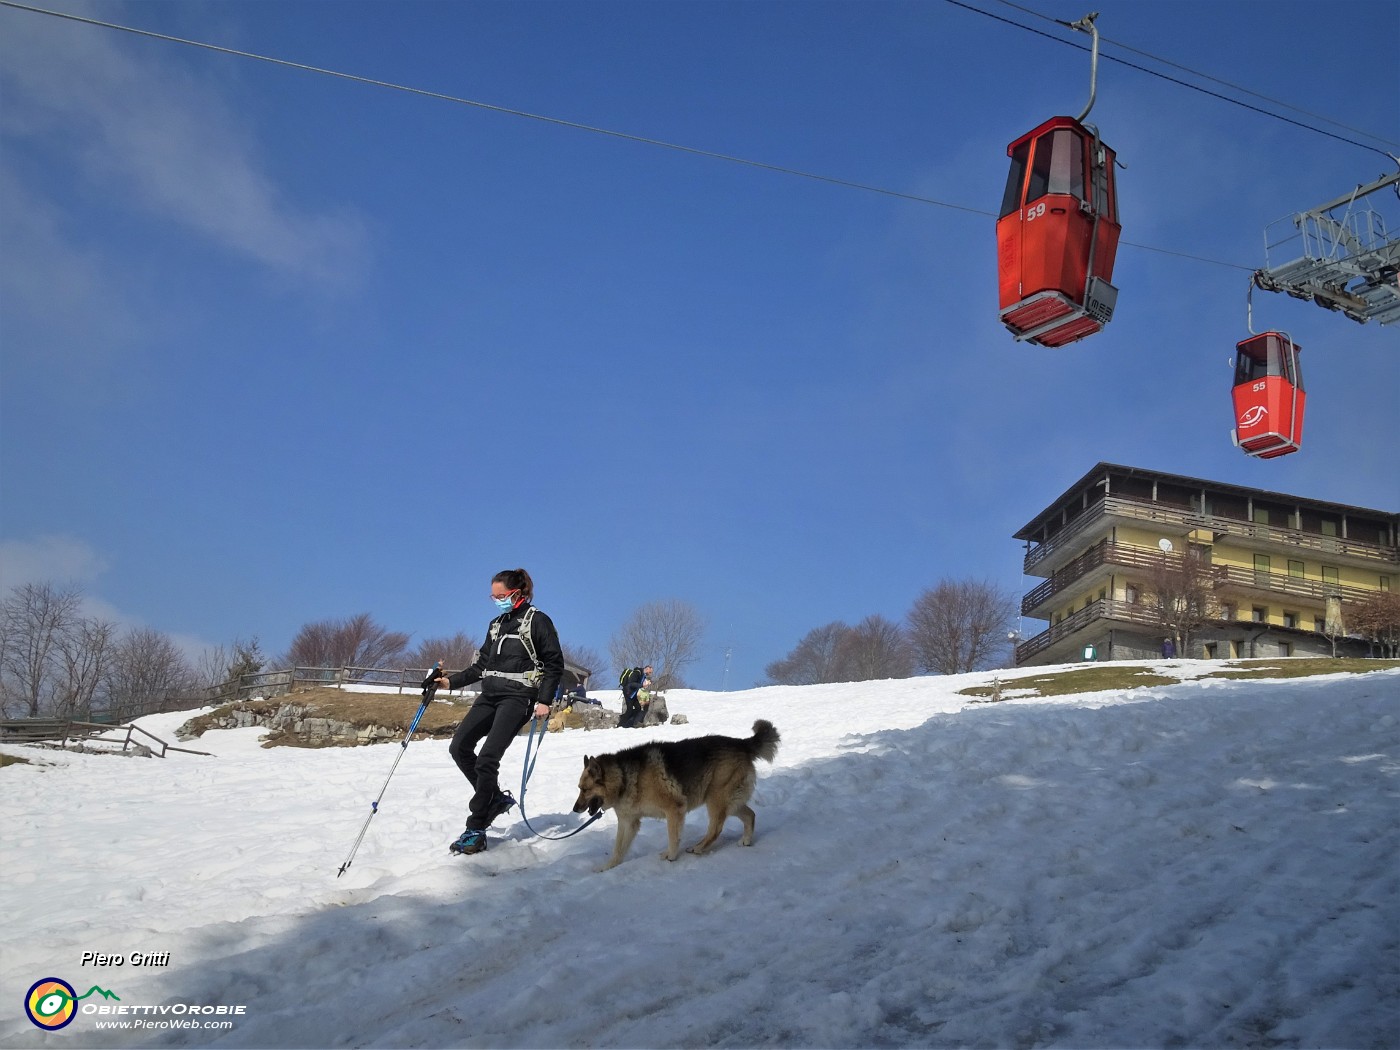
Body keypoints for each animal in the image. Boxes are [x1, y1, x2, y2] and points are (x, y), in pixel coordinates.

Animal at [574, 722, 784, 873]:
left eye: (585, 789)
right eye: (579, 788)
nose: (575, 809)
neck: (624, 778)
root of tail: (742, 743)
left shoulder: (674, 810)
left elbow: (673, 838)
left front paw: (671, 856)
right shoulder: (628, 822)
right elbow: (618, 849)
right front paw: (607, 867)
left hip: (716, 800)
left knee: (716, 829)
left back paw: (699, 847)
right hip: (730, 802)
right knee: (751, 815)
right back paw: (746, 840)